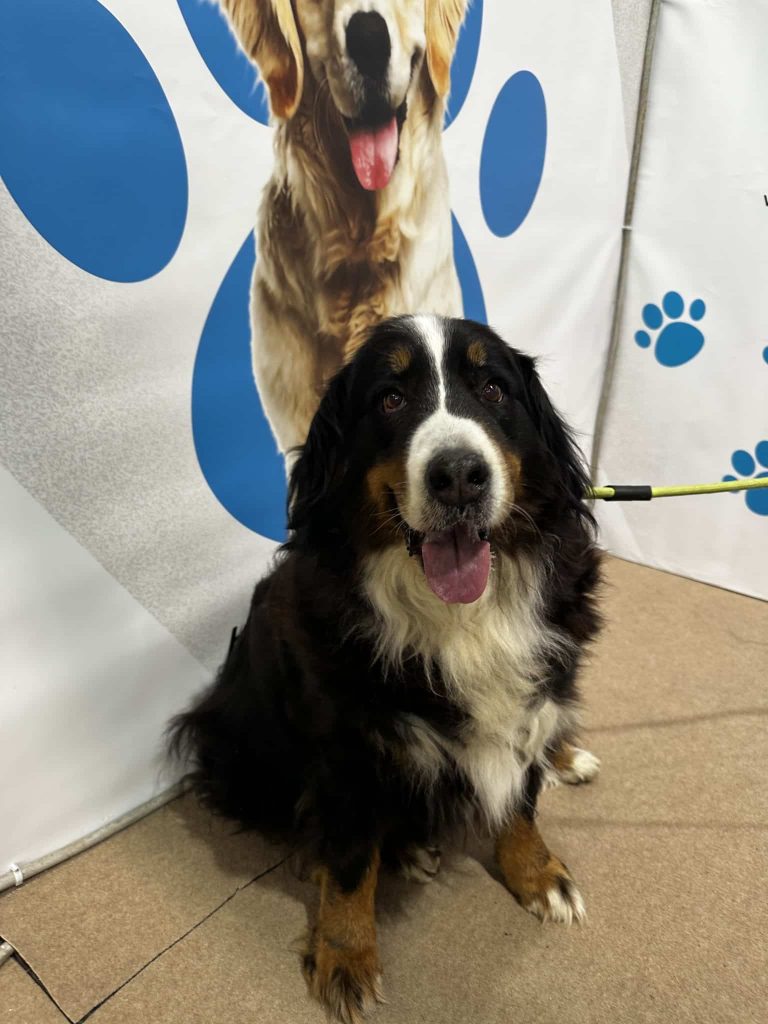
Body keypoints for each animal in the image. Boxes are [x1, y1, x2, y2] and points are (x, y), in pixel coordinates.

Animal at [171, 315, 603, 1023]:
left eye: (492, 389)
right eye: (390, 400)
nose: (460, 475)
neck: (459, 614)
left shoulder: (533, 689)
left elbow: (522, 798)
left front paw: (538, 873)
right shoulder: (346, 747)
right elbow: (348, 861)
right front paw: (345, 956)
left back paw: (565, 757)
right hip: (246, 749)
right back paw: (401, 847)